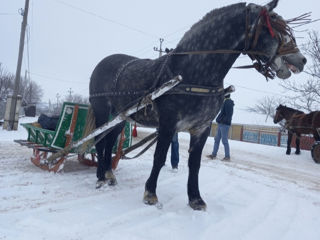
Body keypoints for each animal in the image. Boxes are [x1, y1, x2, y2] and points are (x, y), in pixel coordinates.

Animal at [89, 0, 306, 210]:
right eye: (274, 27)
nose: (302, 60)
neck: (193, 72)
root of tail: (102, 63)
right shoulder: (167, 125)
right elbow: (159, 157)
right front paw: (150, 194)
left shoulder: (202, 128)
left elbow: (195, 163)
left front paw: (195, 199)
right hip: (102, 111)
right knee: (99, 140)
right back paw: (100, 177)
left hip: (120, 117)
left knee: (109, 141)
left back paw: (109, 174)